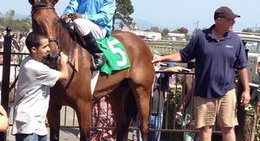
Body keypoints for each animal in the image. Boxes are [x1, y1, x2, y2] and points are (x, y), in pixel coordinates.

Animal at [27, 0, 155, 141]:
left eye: (56, 20)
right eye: (35, 21)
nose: (53, 56)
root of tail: (141, 42)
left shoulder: (84, 105)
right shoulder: (53, 106)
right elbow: (54, 135)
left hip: (142, 89)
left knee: (144, 127)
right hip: (117, 92)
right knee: (122, 124)